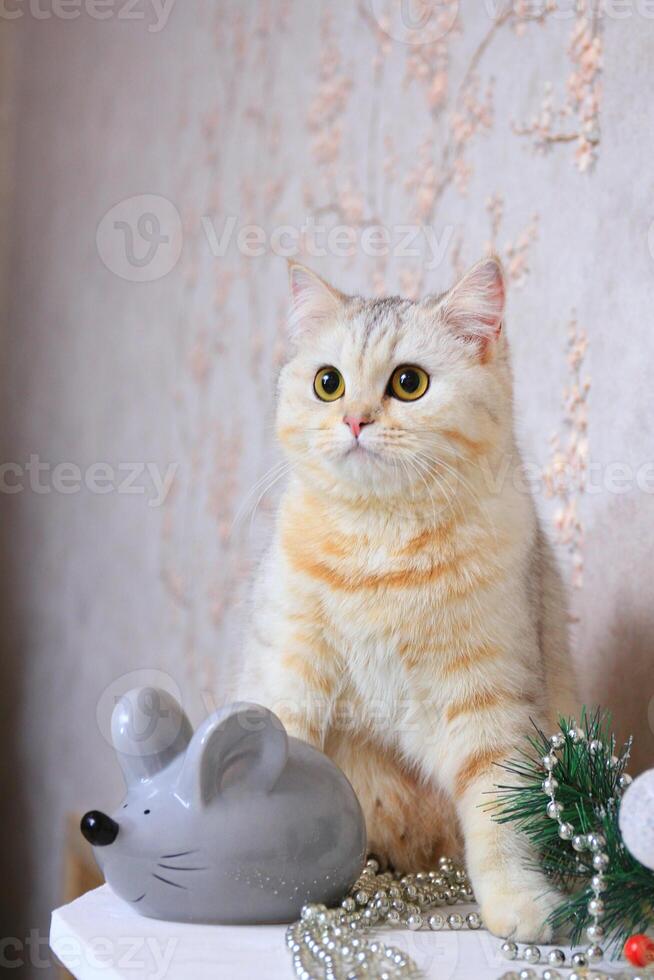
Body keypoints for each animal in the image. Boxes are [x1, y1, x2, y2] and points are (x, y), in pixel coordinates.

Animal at [240, 255, 580, 940]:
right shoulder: (288, 666)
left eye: (408, 383)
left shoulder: (489, 703)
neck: (382, 542)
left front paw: (520, 904)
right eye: (328, 383)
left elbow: (501, 818)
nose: (355, 420)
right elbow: (283, 754)